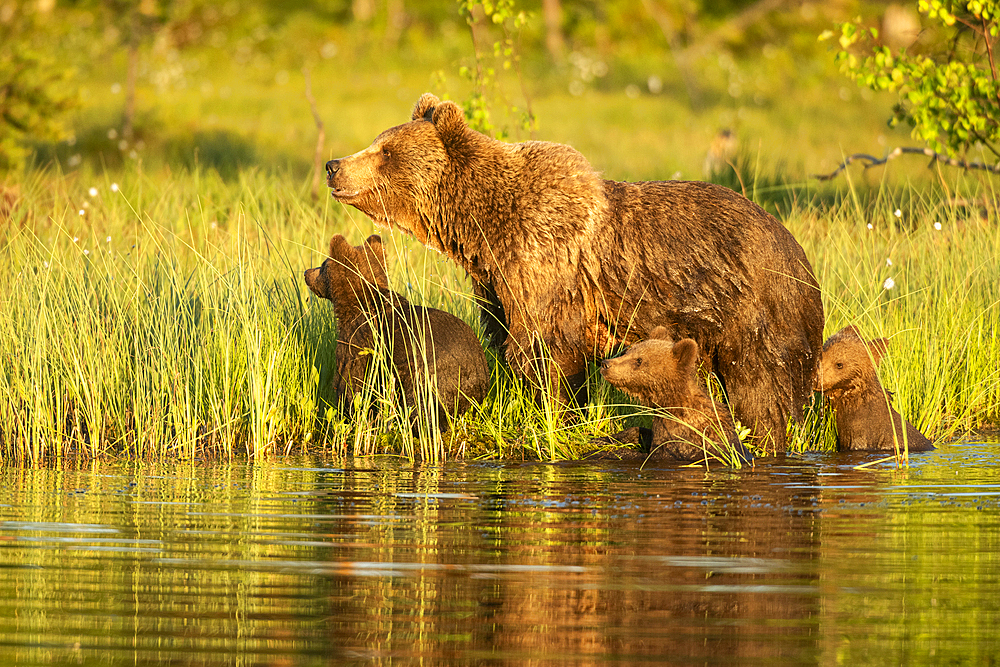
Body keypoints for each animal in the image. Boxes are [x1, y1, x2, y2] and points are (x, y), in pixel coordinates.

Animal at [324, 94, 824, 448]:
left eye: (385, 151)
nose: (333, 165)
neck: (482, 228)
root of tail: (797, 250)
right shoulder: (496, 284)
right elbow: (511, 338)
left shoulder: (546, 265)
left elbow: (545, 352)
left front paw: (549, 415)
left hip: (753, 308)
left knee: (764, 389)